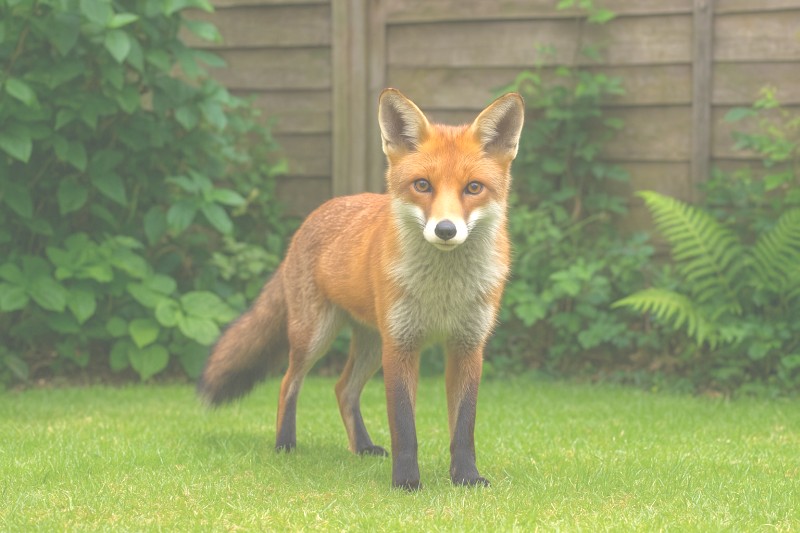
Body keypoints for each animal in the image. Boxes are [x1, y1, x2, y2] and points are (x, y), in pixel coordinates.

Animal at [197, 88, 524, 490]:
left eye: (473, 188)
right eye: (422, 185)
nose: (445, 230)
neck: (442, 292)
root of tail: (315, 215)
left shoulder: (467, 346)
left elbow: (463, 427)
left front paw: (466, 478)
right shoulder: (401, 344)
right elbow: (404, 425)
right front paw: (406, 482)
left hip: (370, 344)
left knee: (343, 389)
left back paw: (363, 447)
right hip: (315, 337)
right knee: (288, 383)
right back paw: (285, 444)